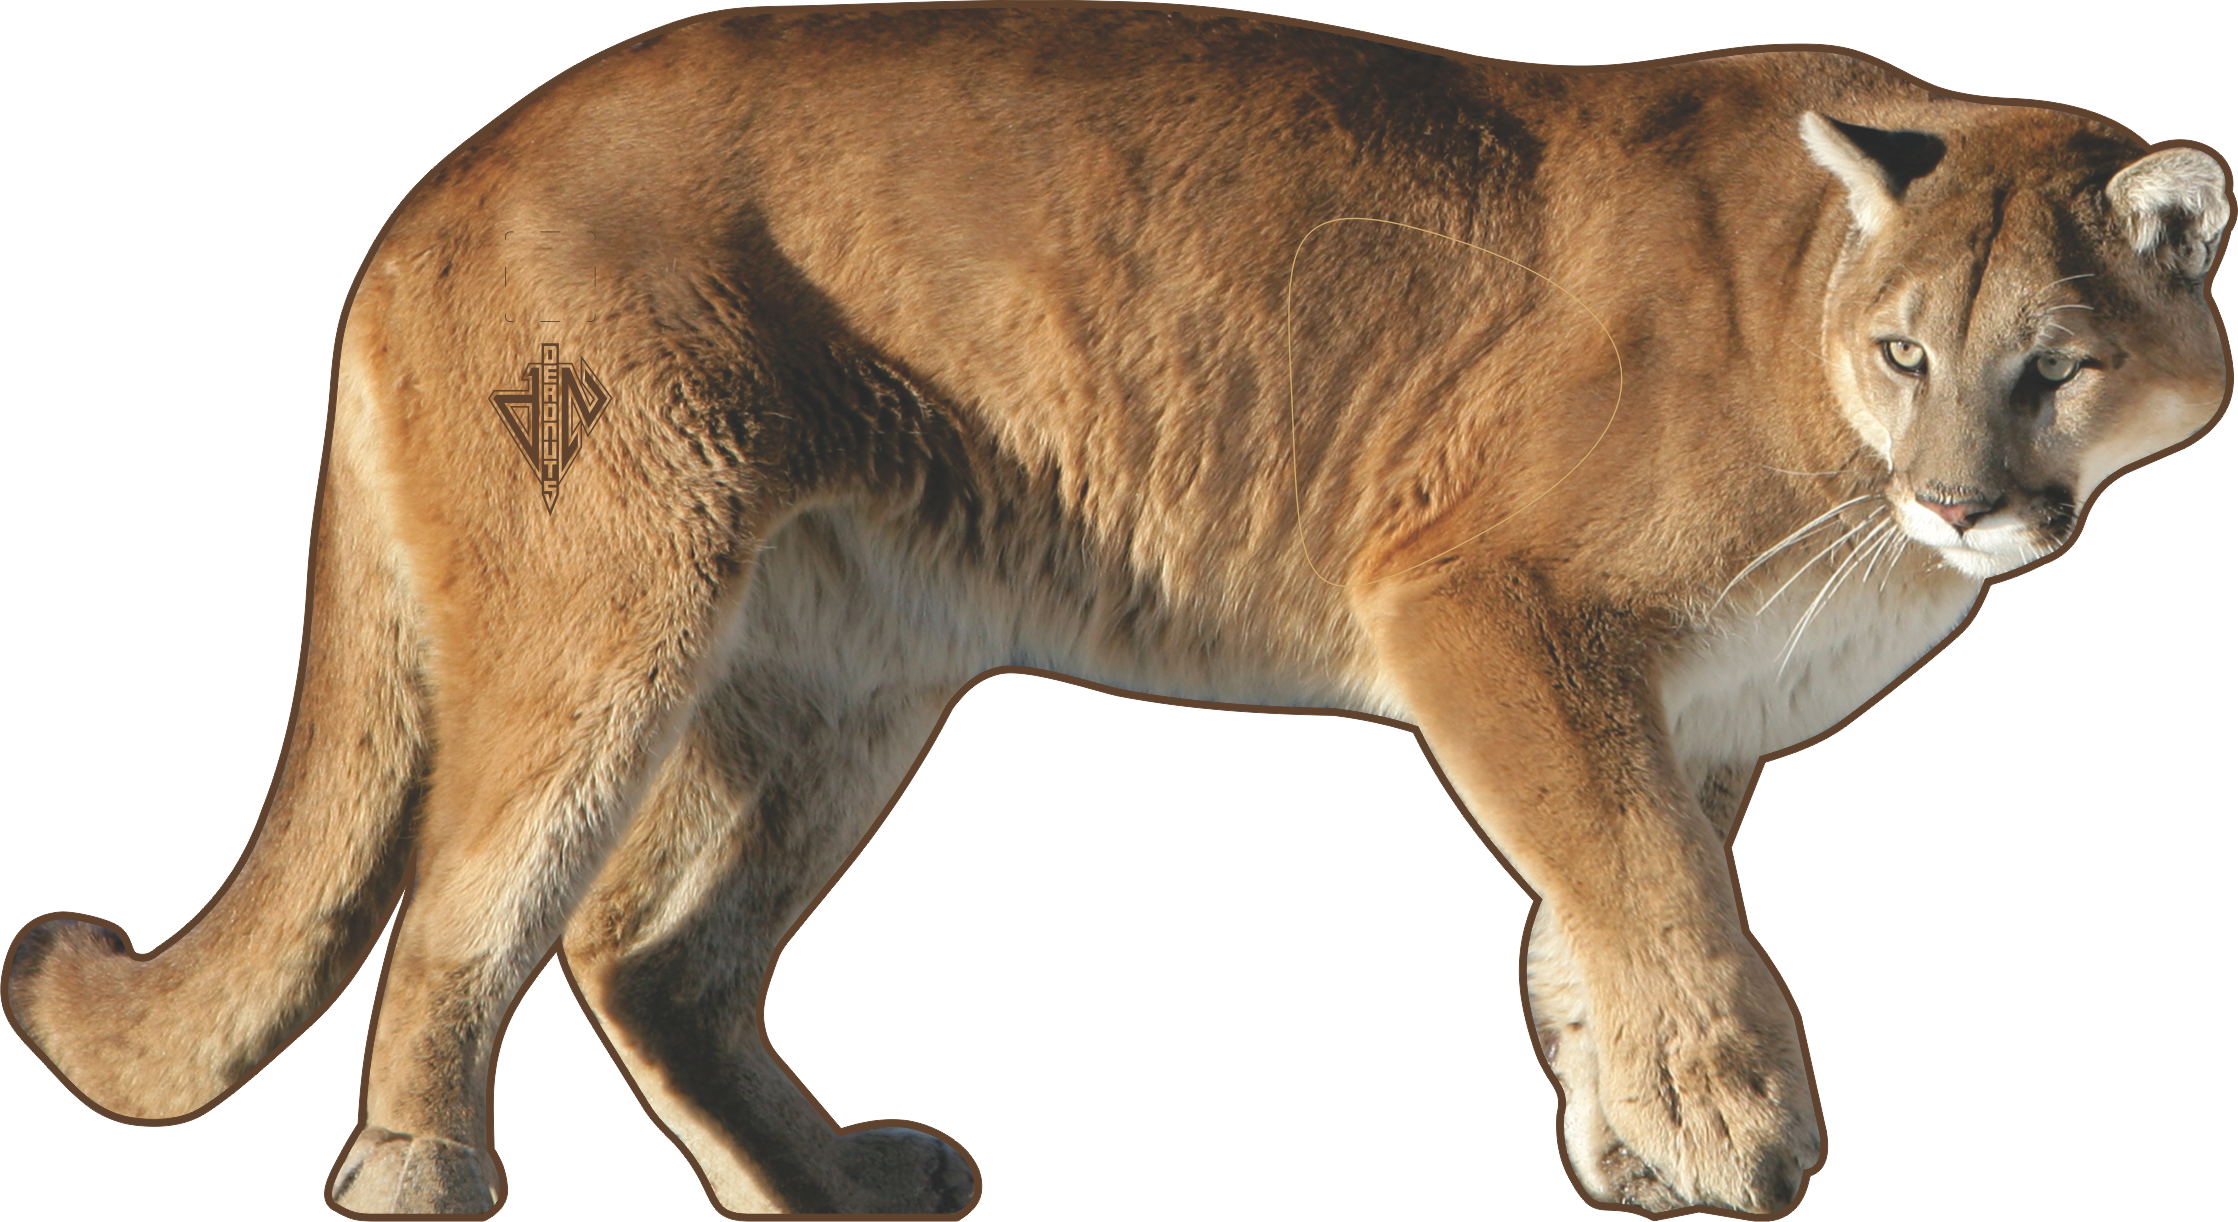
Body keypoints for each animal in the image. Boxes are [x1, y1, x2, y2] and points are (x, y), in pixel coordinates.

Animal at [3, 6, 2227, 1218]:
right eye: (1906, 351)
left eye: (2051, 365)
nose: (1963, 497)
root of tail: (425, 187)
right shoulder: (1485, 603)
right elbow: (1649, 884)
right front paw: (1742, 1129)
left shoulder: (1694, 712)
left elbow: (1598, 903)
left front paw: (1620, 1130)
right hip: (606, 606)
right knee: (475, 903)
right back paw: (423, 1171)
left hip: (839, 677)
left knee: (652, 943)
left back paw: (835, 1179)